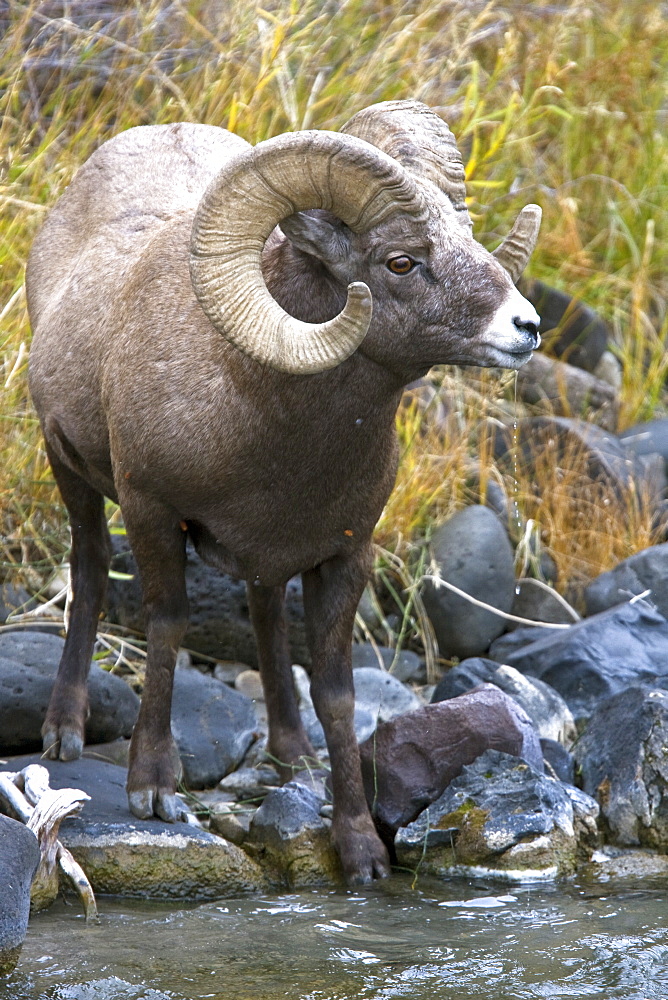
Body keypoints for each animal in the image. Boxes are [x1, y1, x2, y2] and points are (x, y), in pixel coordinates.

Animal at [27, 99, 544, 884]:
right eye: (400, 261)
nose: (527, 327)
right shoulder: (152, 514)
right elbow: (167, 626)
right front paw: (154, 790)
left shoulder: (345, 554)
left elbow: (335, 692)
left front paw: (361, 853)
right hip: (71, 475)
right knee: (88, 574)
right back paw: (62, 735)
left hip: (262, 563)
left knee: (266, 614)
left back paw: (292, 753)